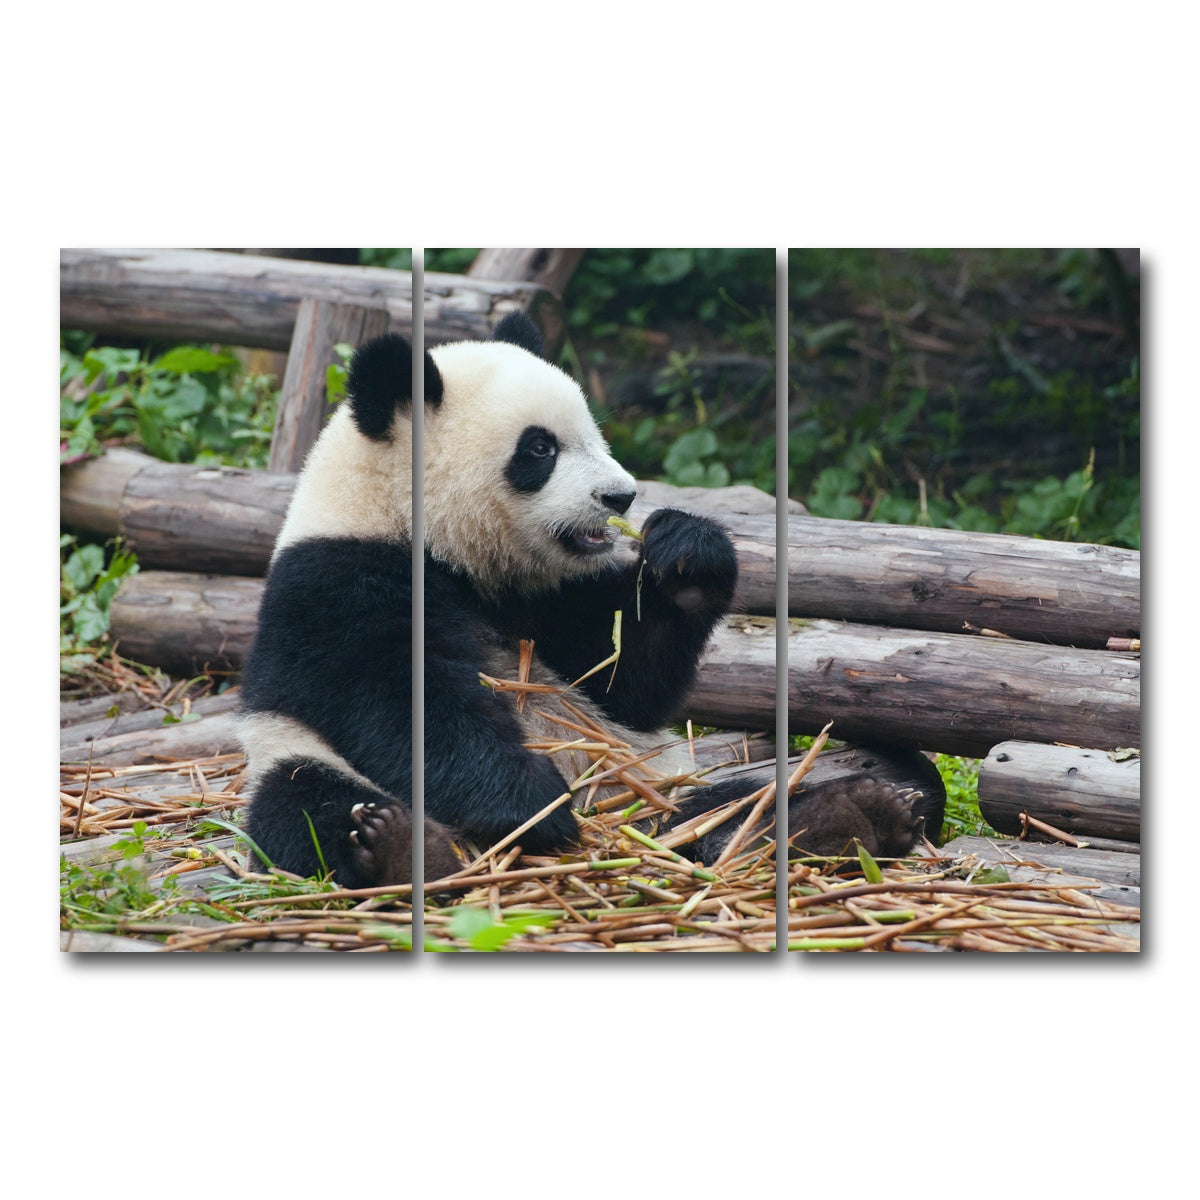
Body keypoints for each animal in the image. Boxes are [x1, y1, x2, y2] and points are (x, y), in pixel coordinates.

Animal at [237, 311, 934, 888]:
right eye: (540, 448)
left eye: (593, 434)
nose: (620, 496)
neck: (441, 546)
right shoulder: (337, 581)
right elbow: (403, 703)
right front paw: (532, 804)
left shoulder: (545, 597)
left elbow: (622, 679)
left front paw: (688, 558)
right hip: (291, 756)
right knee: (305, 803)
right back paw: (400, 847)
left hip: (649, 788)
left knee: (727, 805)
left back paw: (849, 815)